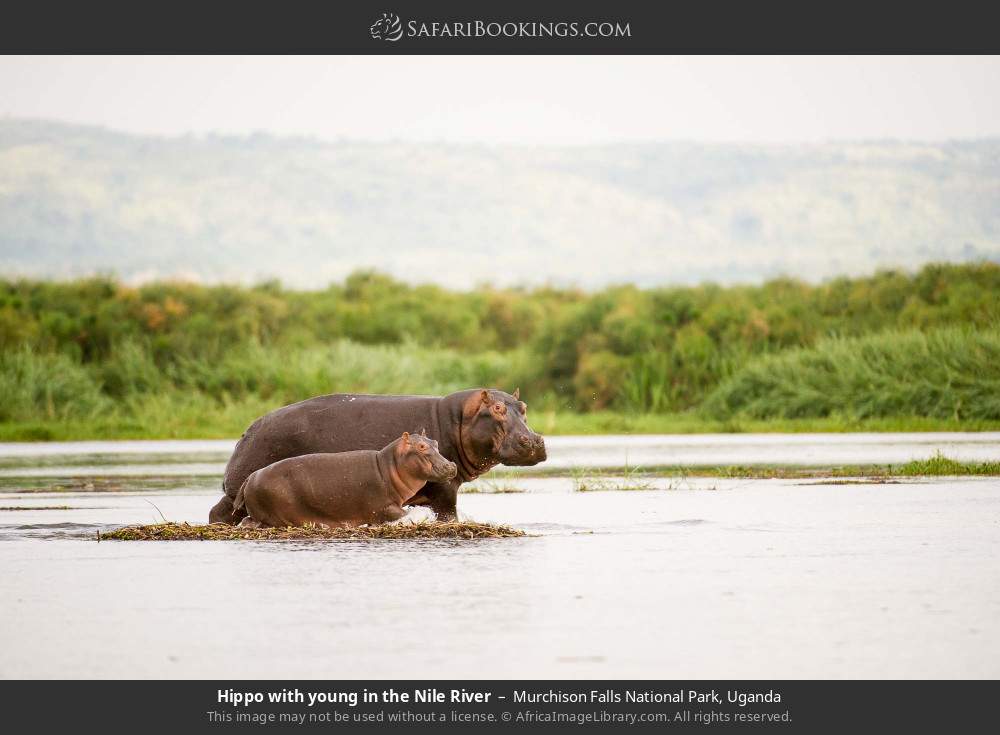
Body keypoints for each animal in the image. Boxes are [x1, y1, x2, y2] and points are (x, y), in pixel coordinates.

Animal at [233, 431, 457, 528]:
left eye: (435, 442)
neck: (388, 466)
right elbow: (404, 513)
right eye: (421, 446)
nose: (451, 465)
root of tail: (251, 477)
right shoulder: (382, 506)